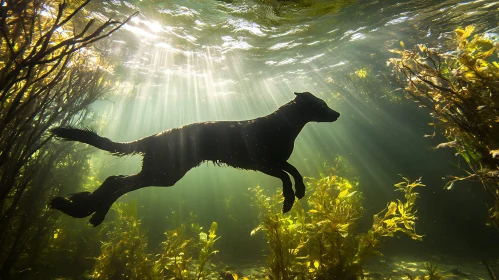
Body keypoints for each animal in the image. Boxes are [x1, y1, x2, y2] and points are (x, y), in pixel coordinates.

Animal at [50, 92, 340, 225]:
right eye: (322, 104)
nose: (337, 114)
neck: (281, 126)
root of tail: (156, 136)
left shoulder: (274, 162)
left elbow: (294, 170)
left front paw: (300, 191)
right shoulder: (263, 163)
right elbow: (286, 175)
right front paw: (289, 200)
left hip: (162, 172)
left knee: (116, 181)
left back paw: (80, 208)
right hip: (164, 173)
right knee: (117, 183)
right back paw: (82, 209)